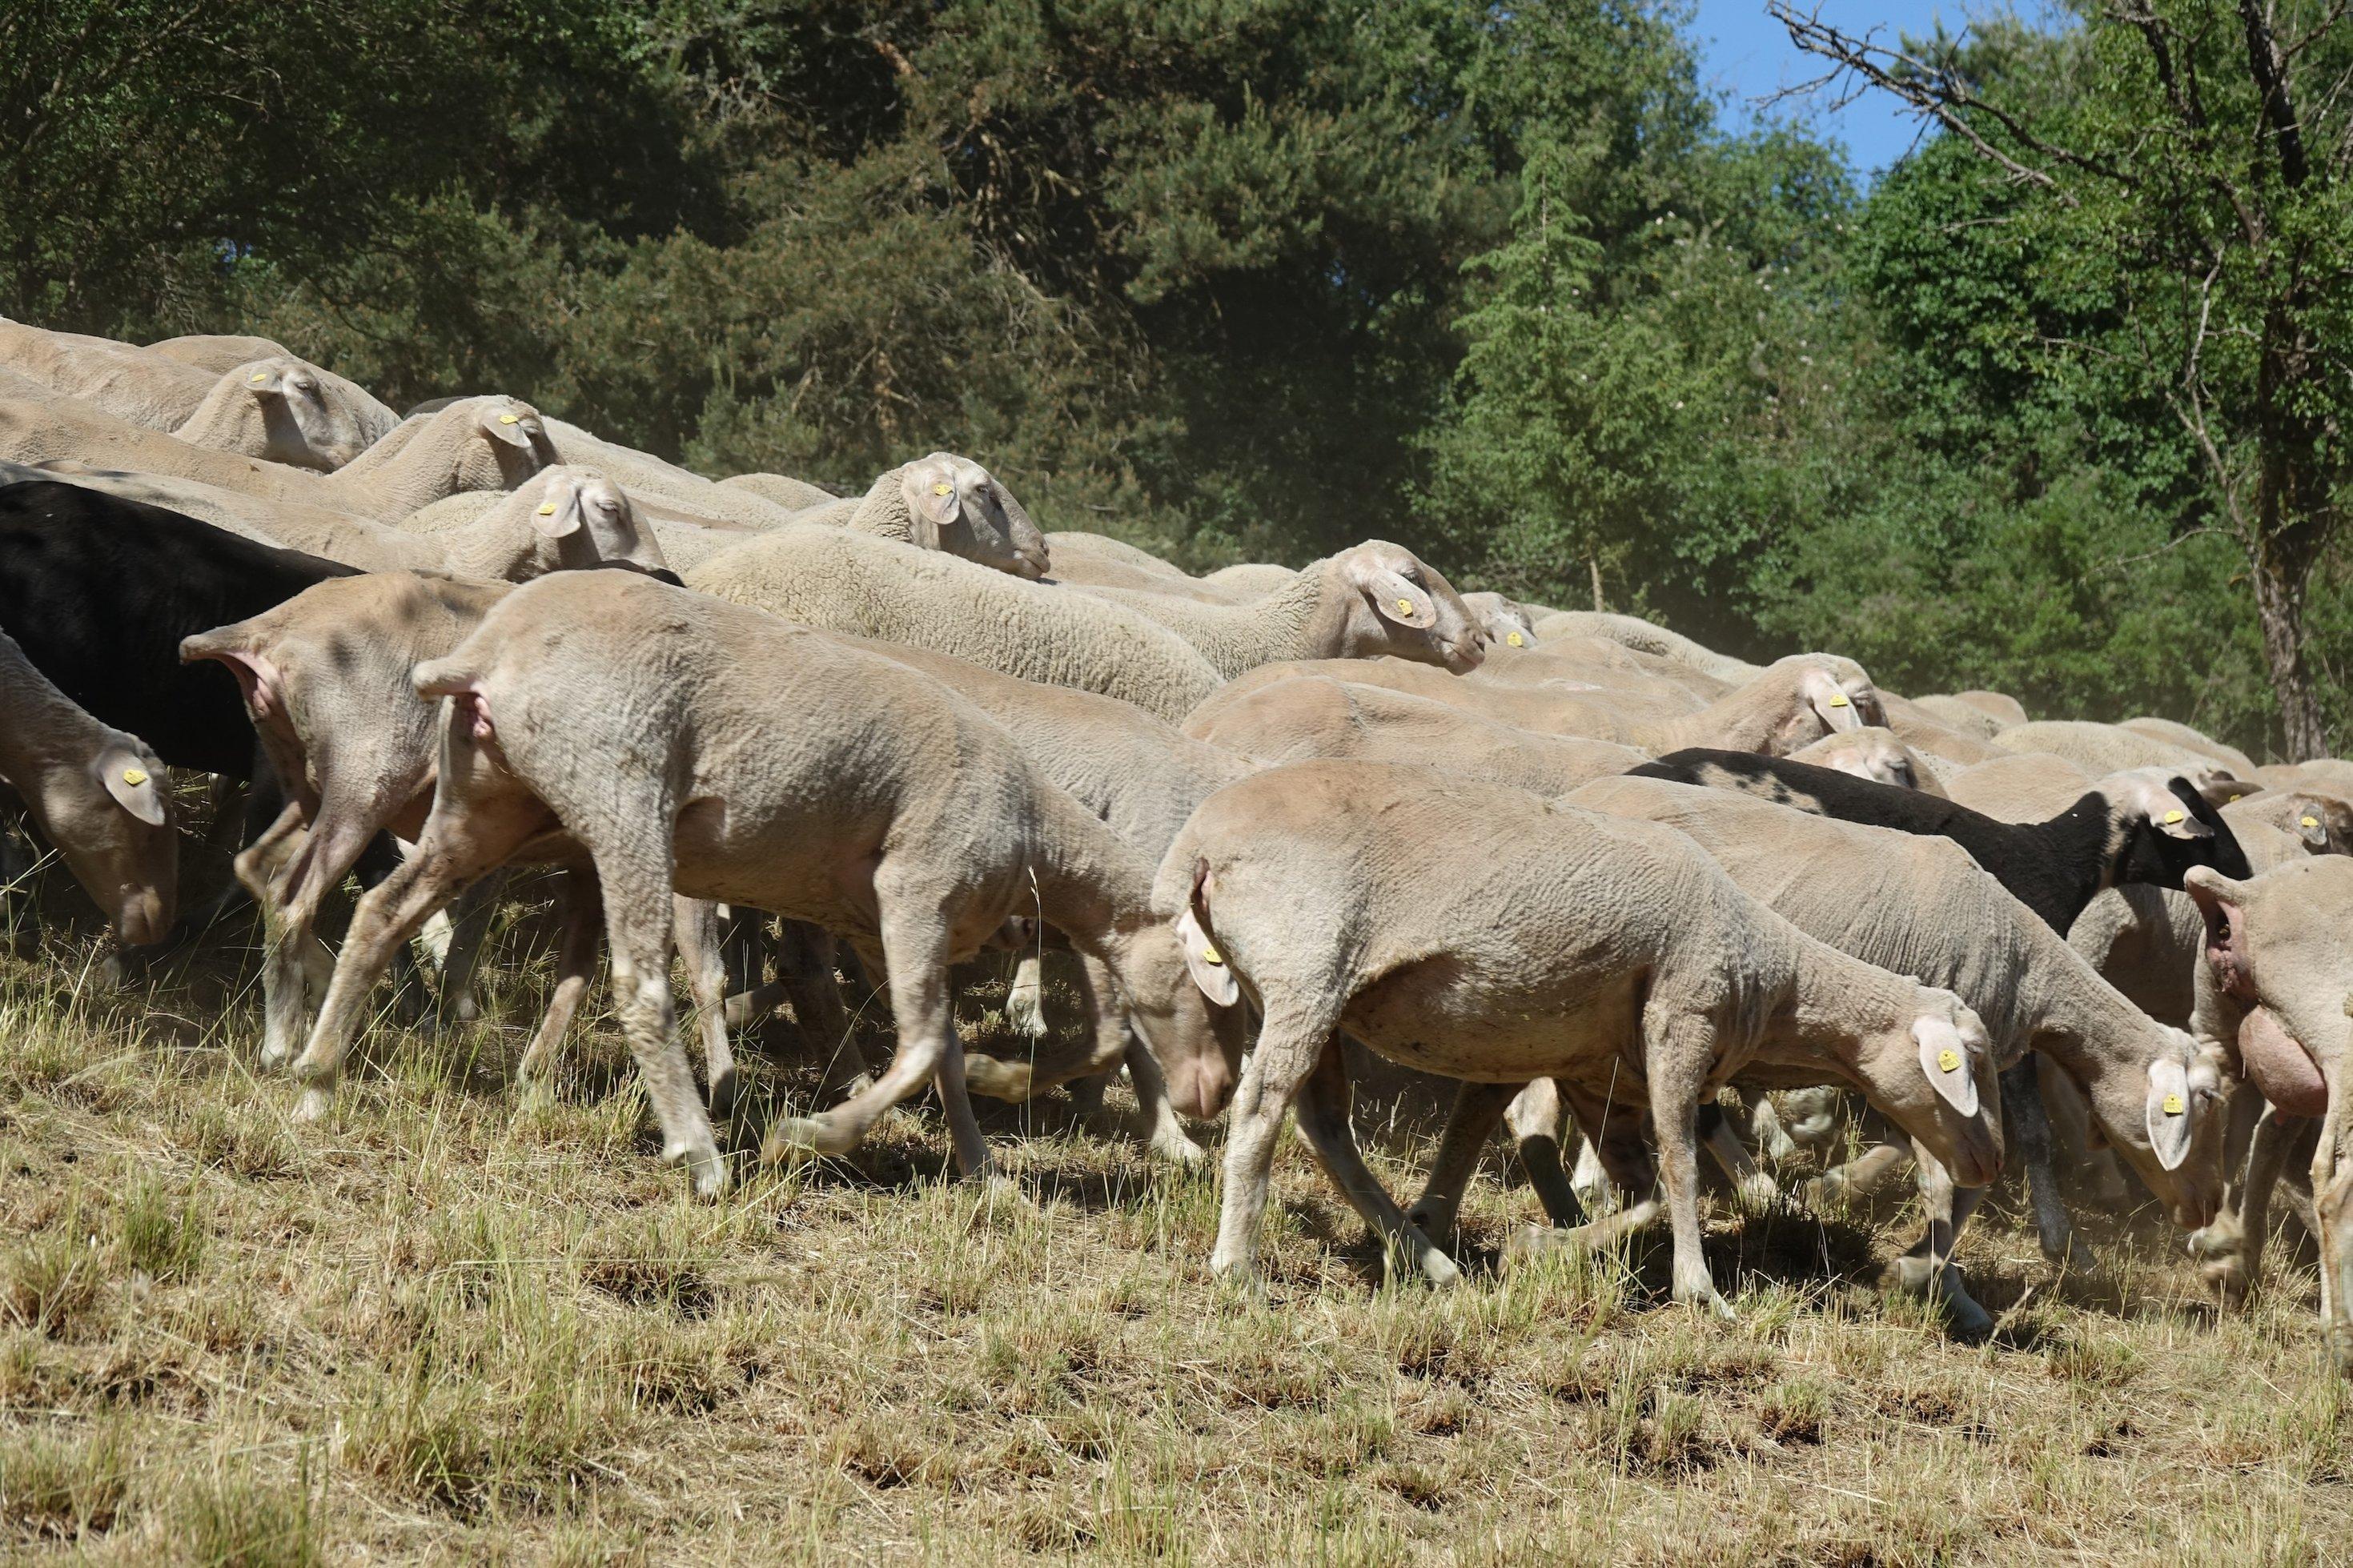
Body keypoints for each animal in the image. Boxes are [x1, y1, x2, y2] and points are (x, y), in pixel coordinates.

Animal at [287, 572, 1242, 1193]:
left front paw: (983, 1170)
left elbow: (937, 1049)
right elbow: (925, 1047)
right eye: (1212, 984)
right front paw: (811, 1135)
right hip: (621, 792)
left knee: (379, 912)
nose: (1214, 1094)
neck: (1038, 836)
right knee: (640, 984)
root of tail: (489, 648)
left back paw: (316, 1080)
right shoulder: (916, 890)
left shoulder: (880, 926)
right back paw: (701, 1153)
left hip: (485, 802)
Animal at [1155, 760, 2003, 1307]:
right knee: (1262, 1111)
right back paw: (1238, 1268)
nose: (1990, 1161)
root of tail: (1199, 840)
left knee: (1324, 1126)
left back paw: (1427, 1259)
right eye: (1968, 1060)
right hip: (1306, 968)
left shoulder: (1598, 1076)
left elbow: (1638, 1188)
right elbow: (1682, 1169)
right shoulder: (1679, 1023)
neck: (1770, 979)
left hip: (1296, 990)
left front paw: (1534, 1245)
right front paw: (1700, 1291)